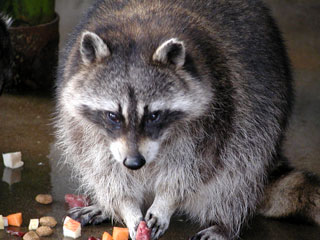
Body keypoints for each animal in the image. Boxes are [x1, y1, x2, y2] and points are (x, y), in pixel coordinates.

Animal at [55, 0, 320, 240]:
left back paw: (226, 222)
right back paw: (107, 206)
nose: (134, 163)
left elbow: (193, 168)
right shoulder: (82, 123)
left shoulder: (219, 108)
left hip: (262, 116)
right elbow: (103, 168)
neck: (140, 29)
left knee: (239, 170)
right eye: (113, 116)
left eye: (154, 115)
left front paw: (166, 201)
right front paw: (125, 206)